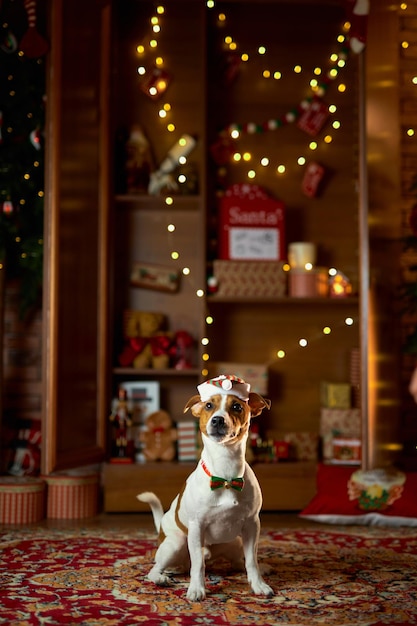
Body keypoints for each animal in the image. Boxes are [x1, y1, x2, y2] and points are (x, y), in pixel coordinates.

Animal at [137, 372, 272, 604]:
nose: (217, 419)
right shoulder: (197, 526)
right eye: (208, 405)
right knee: (159, 568)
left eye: (237, 407)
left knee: (240, 562)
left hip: (236, 542)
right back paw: (161, 578)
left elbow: (251, 561)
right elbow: (198, 565)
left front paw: (258, 585)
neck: (225, 474)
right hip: (176, 543)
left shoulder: (252, 525)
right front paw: (197, 589)